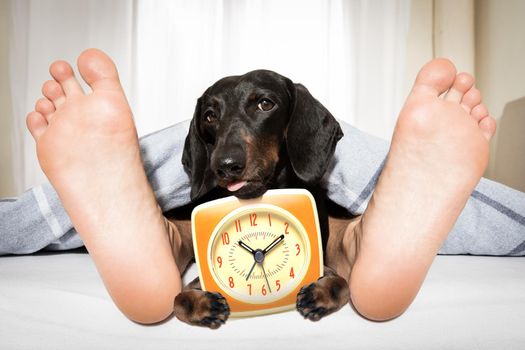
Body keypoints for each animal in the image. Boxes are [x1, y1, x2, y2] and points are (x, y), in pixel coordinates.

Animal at [168, 70, 360, 328]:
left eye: (265, 104)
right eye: (209, 116)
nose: (226, 165)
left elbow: (342, 283)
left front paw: (320, 294)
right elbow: (179, 299)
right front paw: (202, 305)